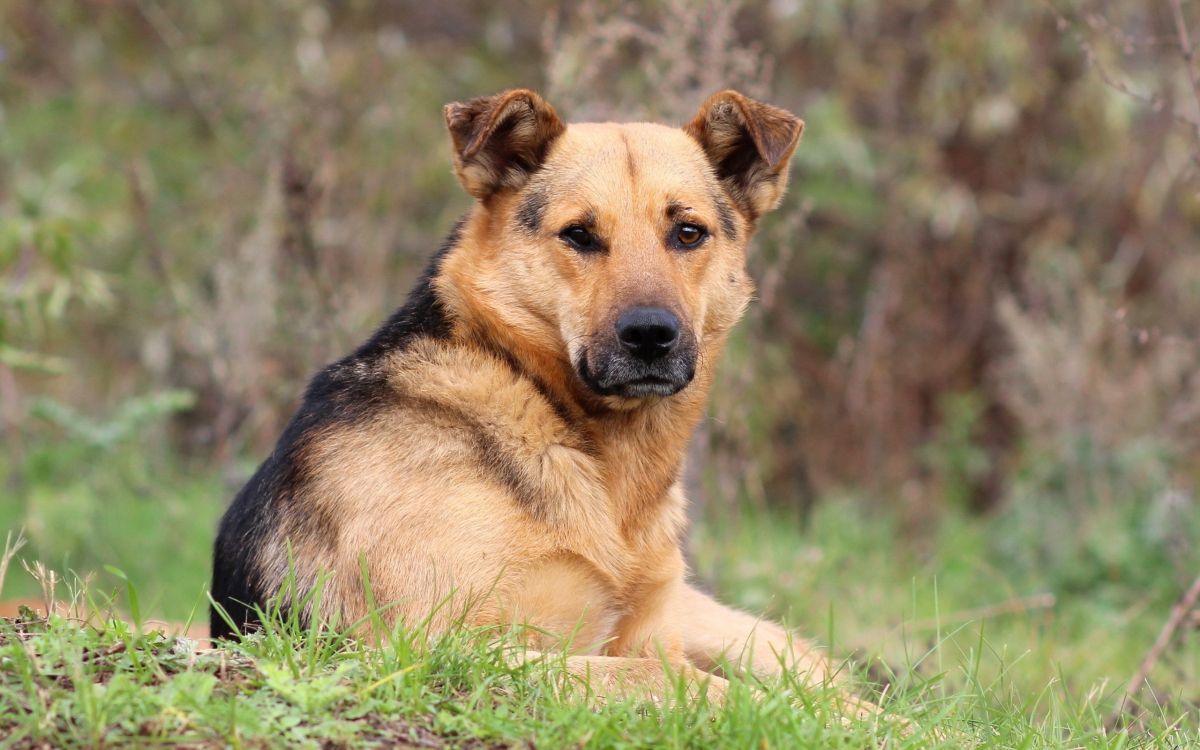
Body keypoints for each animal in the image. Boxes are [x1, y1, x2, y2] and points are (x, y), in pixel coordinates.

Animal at [213, 86, 873, 705]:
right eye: (579, 235)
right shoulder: (441, 648)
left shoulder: (651, 630)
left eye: (688, 233)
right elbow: (674, 683)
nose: (650, 335)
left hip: (736, 633)